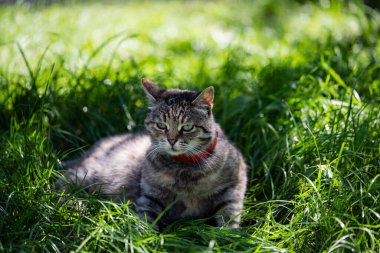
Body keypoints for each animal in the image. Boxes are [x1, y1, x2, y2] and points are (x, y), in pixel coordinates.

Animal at [56, 78, 246, 229]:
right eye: (161, 125)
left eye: (187, 127)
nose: (171, 140)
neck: (184, 167)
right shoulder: (150, 196)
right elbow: (146, 221)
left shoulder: (234, 188)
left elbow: (229, 216)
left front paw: (227, 237)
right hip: (84, 175)